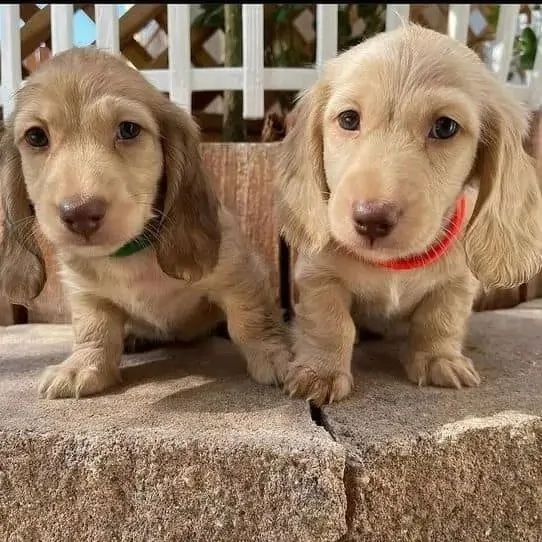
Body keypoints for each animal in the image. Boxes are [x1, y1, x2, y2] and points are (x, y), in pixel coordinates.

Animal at [0, 47, 292, 400]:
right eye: (35, 136)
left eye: (128, 129)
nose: (80, 213)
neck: (130, 254)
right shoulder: (85, 293)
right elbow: (93, 328)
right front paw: (83, 365)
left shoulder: (239, 275)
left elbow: (251, 318)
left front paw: (276, 355)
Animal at [276, 26, 542, 408]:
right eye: (348, 119)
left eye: (445, 127)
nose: (371, 219)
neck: (393, 264)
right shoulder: (318, 276)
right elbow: (330, 322)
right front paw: (321, 372)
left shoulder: (457, 283)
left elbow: (440, 319)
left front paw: (439, 359)